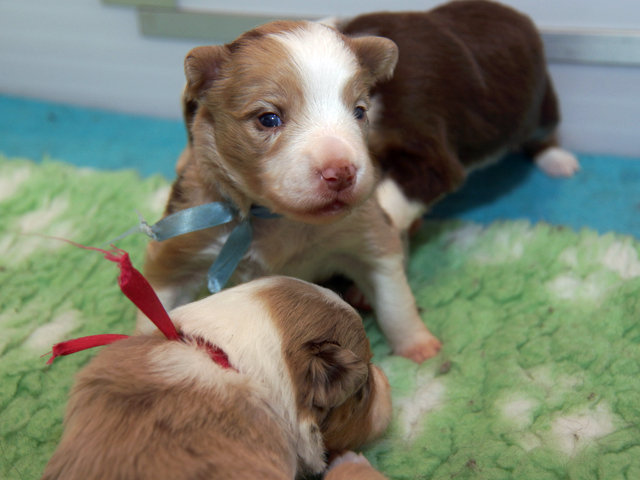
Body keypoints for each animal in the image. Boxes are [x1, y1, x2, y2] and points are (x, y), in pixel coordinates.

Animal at [140, 20, 442, 363]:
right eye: (269, 118)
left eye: (359, 112)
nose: (341, 172)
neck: (275, 218)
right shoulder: (181, 245)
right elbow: (156, 301)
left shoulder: (365, 230)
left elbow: (393, 296)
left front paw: (418, 345)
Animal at [330, 0, 580, 232]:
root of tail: (517, 14)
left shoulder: (418, 128)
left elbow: (398, 195)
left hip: (540, 102)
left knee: (543, 132)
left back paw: (559, 161)